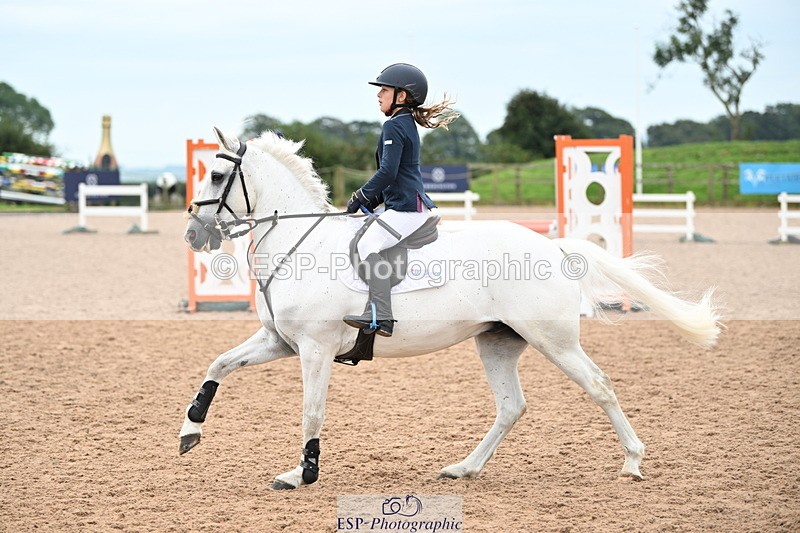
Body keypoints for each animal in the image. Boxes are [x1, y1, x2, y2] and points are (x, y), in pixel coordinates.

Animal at [180, 127, 721, 490]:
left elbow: (312, 412)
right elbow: (218, 364)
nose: (193, 234)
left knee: (599, 386)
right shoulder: (279, 341)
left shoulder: (315, 348)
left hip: (554, 340)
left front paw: (303, 473)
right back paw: (465, 467)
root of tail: (554, 248)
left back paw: (632, 461)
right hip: (498, 341)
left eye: (218, 174)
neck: (299, 241)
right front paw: (190, 430)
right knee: (511, 406)